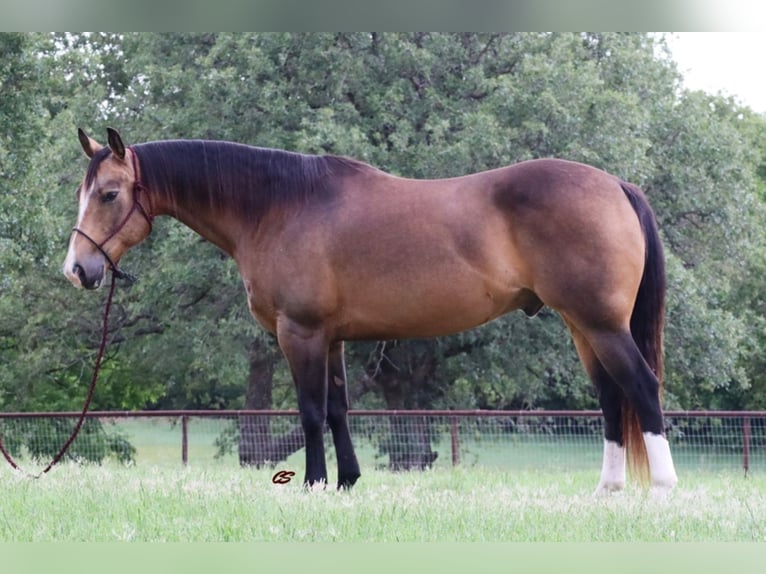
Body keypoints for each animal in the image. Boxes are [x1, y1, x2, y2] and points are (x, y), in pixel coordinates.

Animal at [64, 129, 680, 496]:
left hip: (600, 324)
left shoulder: (300, 333)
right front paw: (347, 483)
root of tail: (615, 184)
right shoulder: (332, 338)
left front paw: (312, 484)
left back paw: (664, 488)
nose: (77, 269)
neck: (281, 206)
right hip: (582, 326)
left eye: (110, 194)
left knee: (641, 387)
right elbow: (339, 410)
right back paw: (606, 491)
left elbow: (312, 412)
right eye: (83, 192)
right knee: (611, 398)